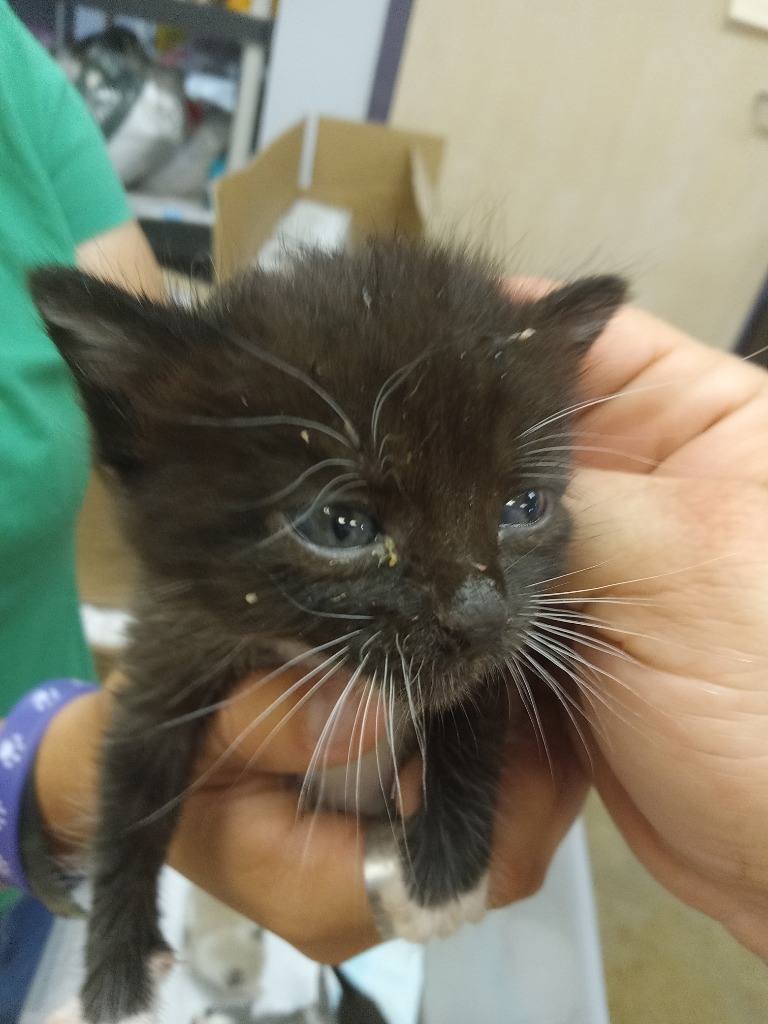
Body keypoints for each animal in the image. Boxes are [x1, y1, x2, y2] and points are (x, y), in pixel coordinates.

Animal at [31, 235, 630, 1019]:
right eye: (341, 524)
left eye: (523, 505)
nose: (480, 611)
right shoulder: (171, 641)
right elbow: (129, 780)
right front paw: (116, 975)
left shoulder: (510, 640)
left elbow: (475, 698)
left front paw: (445, 874)